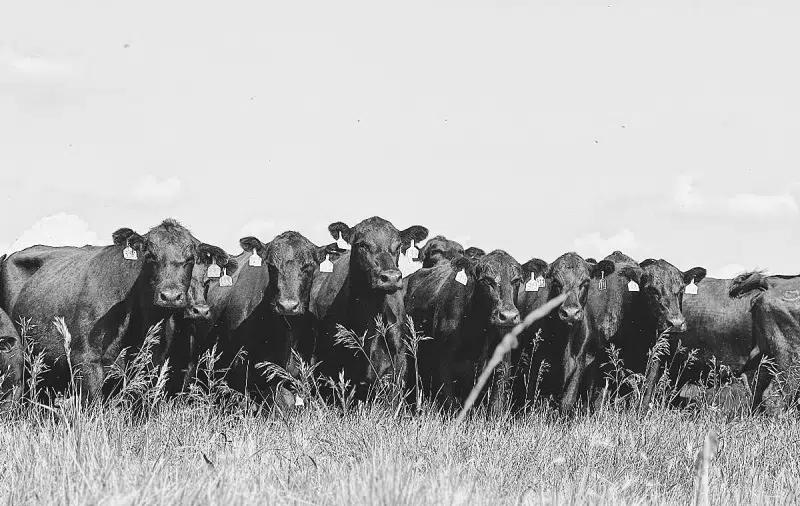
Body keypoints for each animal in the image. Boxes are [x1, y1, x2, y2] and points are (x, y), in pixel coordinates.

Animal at [406, 249, 524, 412]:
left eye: (517, 280)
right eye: (487, 280)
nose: (508, 316)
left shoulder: (502, 367)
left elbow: (496, 406)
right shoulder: (445, 366)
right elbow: (452, 404)